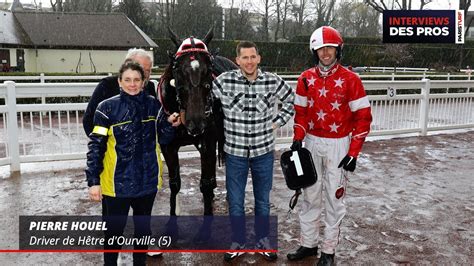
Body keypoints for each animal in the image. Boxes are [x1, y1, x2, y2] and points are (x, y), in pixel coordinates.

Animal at [159, 26, 239, 216]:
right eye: (178, 69)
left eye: (209, 69)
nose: (196, 121)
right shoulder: (168, 146)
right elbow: (175, 183)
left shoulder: (207, 141)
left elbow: (206, 184)